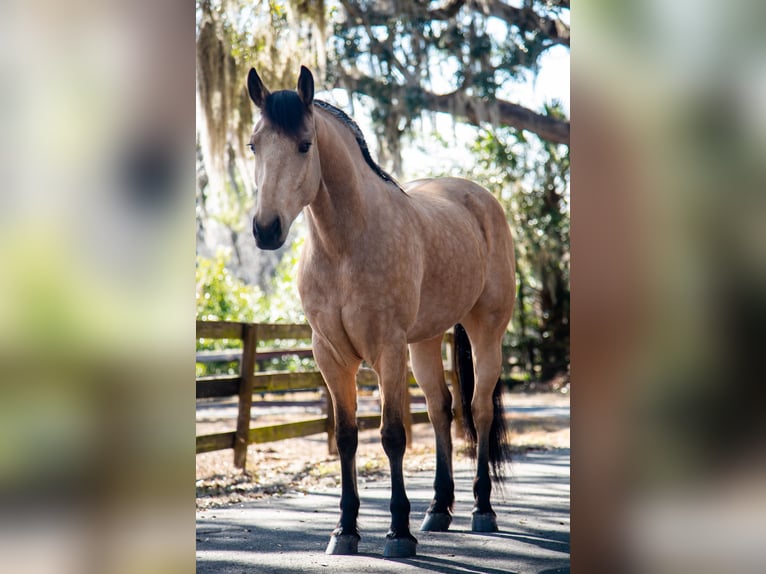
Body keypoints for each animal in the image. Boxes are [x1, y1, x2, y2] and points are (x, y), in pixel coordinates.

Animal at [246, 65, 516, 558]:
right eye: (255, 144)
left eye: (305, 145)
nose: (266, 229)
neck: (345, 247)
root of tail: (478, 197)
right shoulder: (331, 356)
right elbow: (347, 436)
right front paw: (344, 530)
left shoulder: (387, 351)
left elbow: (392, 435)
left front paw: (398, 533)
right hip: (425, 342)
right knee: (441, 410)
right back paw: (438, 509)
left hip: (485, 332)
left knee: (479, 409)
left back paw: (481, 509)